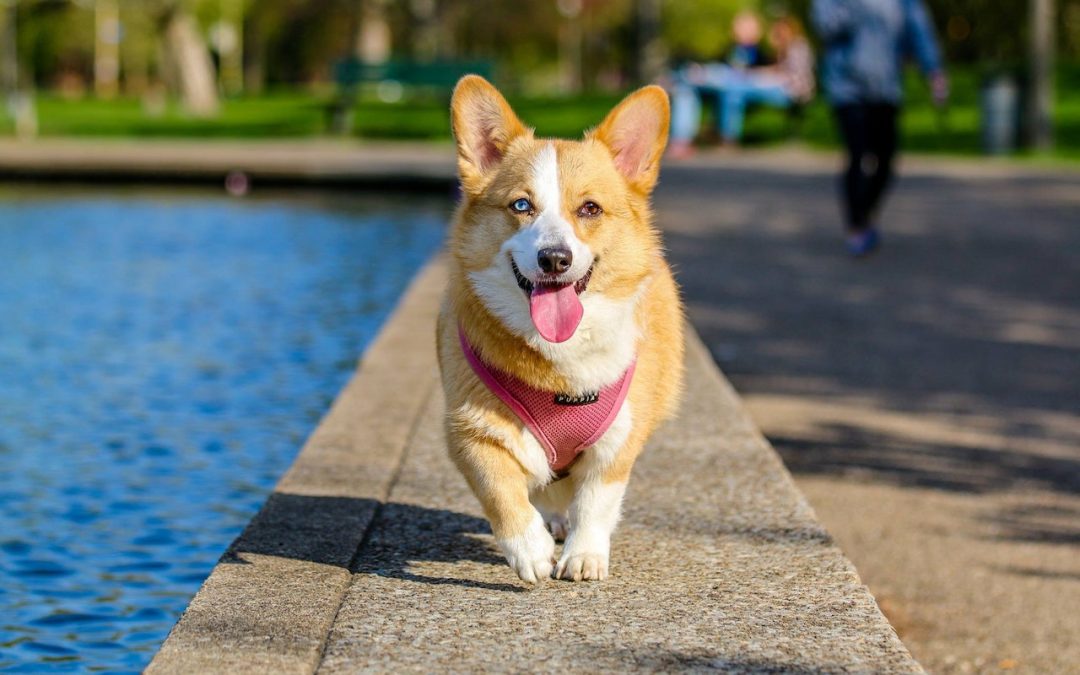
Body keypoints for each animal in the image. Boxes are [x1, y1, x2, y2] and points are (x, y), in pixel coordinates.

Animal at [436, 72, 682, 578]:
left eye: (589, 209)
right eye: (520, 205)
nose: (554, 258)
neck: (560, 360)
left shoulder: (617, 441)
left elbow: (596, 501)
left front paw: (585, 555)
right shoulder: (469, 431)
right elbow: (501, 491)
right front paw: (528, 550)